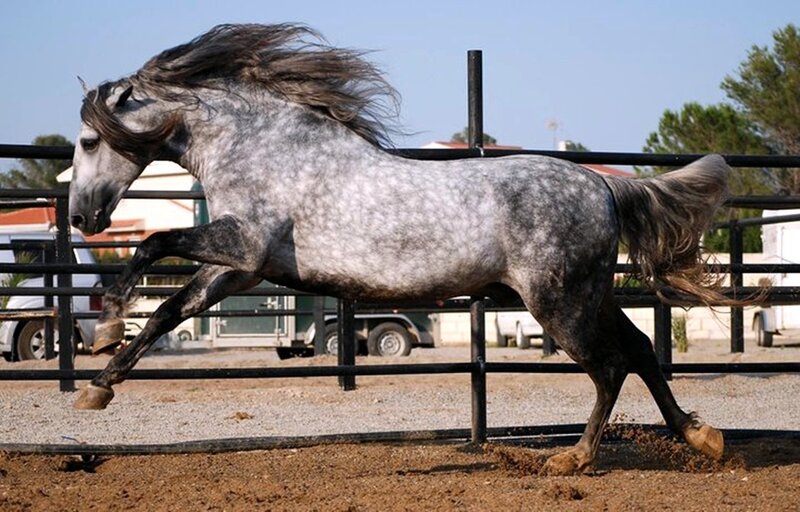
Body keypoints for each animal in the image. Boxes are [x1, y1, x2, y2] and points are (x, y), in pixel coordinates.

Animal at [69, 23, 732, 475]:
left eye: (87, 140)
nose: (81, 216)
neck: (265, 149)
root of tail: (603, 185)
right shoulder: (238, 270)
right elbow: (168, 311)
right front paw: (97, 388)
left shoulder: (244, 246)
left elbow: (153, 244)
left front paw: (106, 325)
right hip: (588, 294)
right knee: (641, 349)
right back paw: (702, 437)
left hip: (558, 304)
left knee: (610, 367)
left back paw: (574, 459)